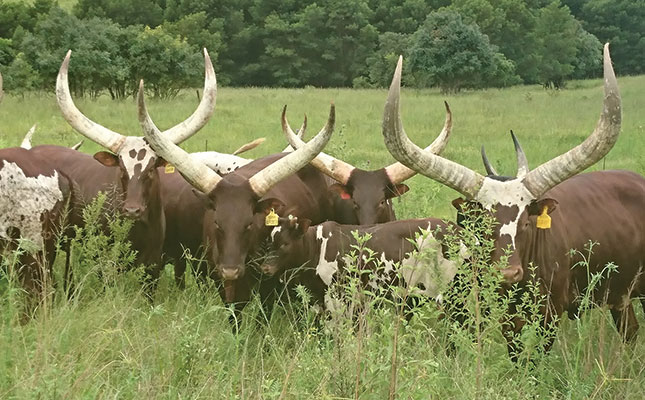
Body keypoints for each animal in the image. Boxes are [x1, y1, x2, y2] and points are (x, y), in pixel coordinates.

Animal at [28, 48, 216, 296]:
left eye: (151, 169)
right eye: (121, 168)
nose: (132, 210)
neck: (140, 229)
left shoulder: (152, 267)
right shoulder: (105, 265)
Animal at [138, 81, 336, 324]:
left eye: (249, 224)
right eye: (216, 223)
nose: (230, 271)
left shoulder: (268, 281)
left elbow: (263, 316)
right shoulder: (220, 282)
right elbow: (234, 317)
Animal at [260, 216, 465, 318]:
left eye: (285, 243)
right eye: (268, 243)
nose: (265, 268)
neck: (318, 245)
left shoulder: (338, 296)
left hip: (452, 293)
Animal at [382, 44, 644, 359]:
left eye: (527, 223)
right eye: (481, 226)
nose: (508, 273)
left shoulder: (550, 314)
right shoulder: (508, 318)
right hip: (622, 296)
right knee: (630, 329)